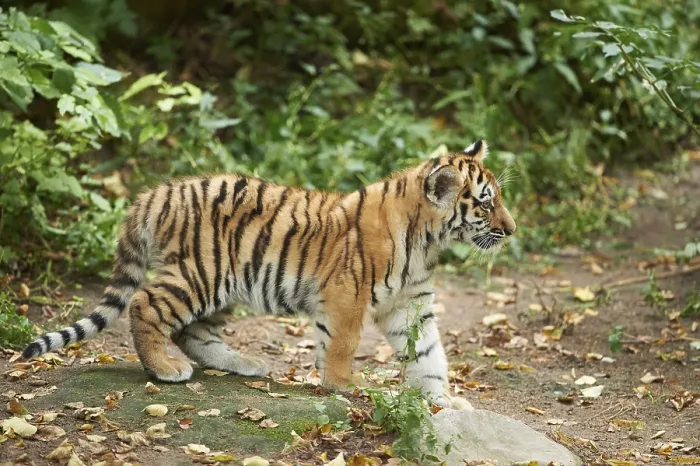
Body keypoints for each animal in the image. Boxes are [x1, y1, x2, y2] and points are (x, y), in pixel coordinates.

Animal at [23, 140, 515, 408]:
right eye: (486, 203)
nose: (512, 229)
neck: (428, 240)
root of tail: (156, 192)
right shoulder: (347, 295)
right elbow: (343, 347)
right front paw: (348, 386)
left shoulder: (411, 305)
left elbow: (430, 355)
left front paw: (442, 400)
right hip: (201, 273)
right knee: (146, 304)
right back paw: (164, 369)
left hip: (227, 286)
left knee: (192, 332)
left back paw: (245, 364)